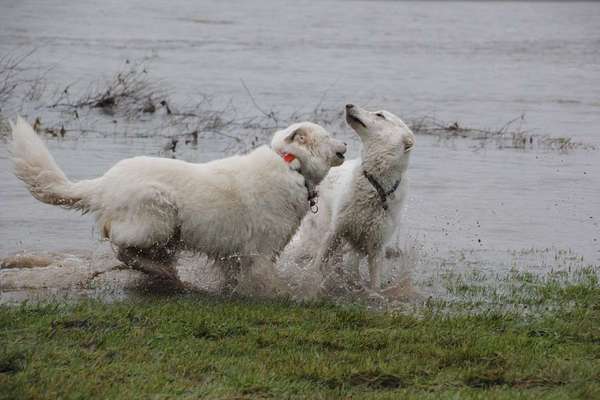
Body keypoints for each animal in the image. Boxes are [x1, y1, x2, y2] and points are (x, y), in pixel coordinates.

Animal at [10, 115, 346, 288]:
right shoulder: (260, 253)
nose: (345, 144)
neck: (292, 165)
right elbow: (267, 282)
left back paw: (163, 271)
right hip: (157, 215)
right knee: (121, 247)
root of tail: (104, 182)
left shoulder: (234, 255)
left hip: (167, 232)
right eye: (330, 135)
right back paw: (162, 272)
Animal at [280, 104, 412, 290]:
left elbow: (375, 282)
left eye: (380, 115)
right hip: (314, 231)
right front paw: (311, 281)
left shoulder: (376, 246)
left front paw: (374, 293)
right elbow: (317, 265)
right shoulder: (335, 230)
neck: (375, 183)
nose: (349, 105)